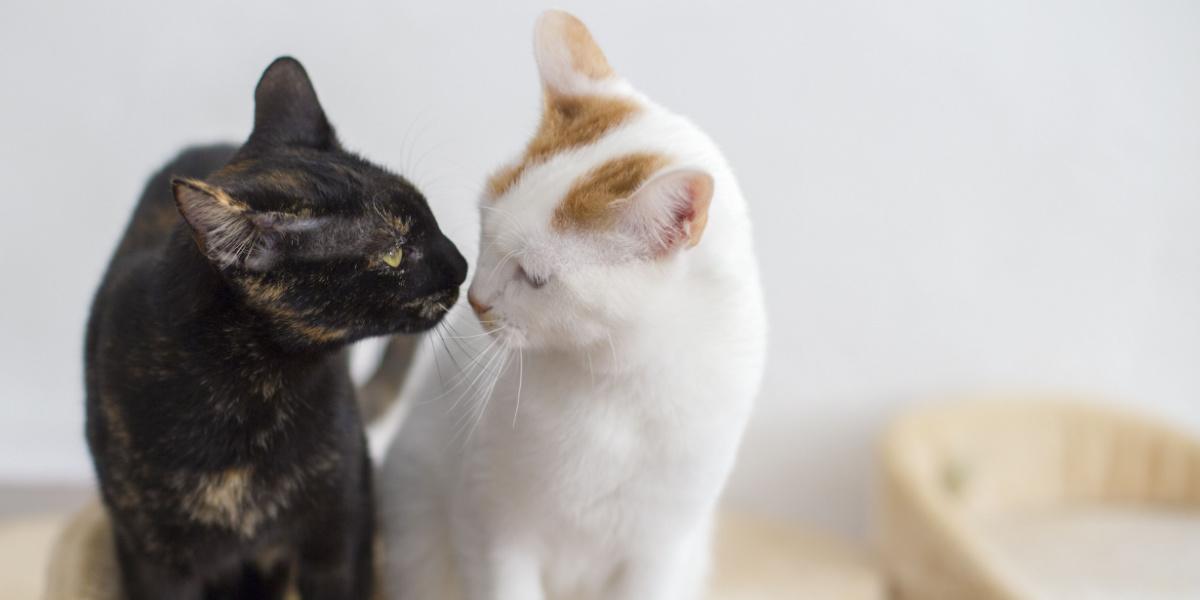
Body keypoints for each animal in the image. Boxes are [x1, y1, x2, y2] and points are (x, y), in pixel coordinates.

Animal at [84, 57, 465, 600]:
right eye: (394, 253)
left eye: (430, 217)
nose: (463, 264)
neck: (250, 400)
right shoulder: (151, 560)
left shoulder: (341, 529)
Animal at [379, 10, 763, 600]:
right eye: (484, 226)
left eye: (536, 279)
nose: (476, 299)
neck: (611, 384)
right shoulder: (495, 530)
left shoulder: (659, 553)